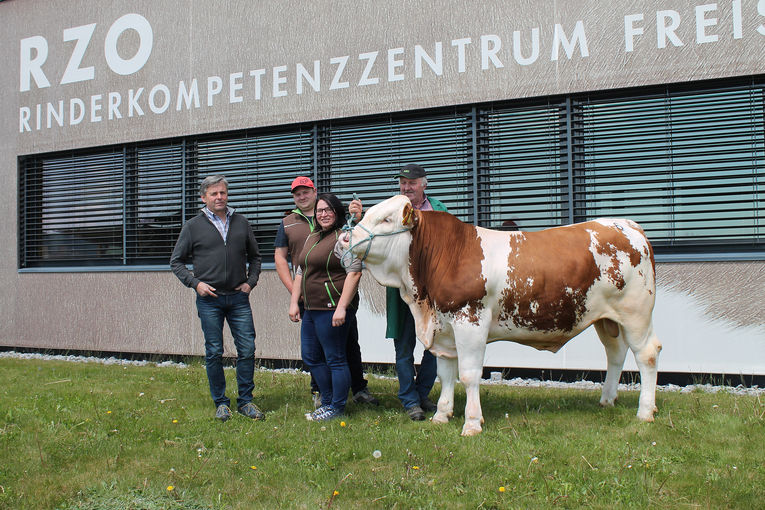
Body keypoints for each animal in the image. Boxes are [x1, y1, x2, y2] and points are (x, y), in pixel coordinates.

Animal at [344, 195, 660, 434]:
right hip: (607, 319)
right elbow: (445, 375)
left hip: (636, 313)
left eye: (386, 220)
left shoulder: (470, 321)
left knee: (646, 354)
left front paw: (472, 423)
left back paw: (645, 411)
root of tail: (627, 225)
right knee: (615, 354)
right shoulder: (445, 329)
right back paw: (607, 400)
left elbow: (469, 374)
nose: (345, 239)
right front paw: (442, 415)